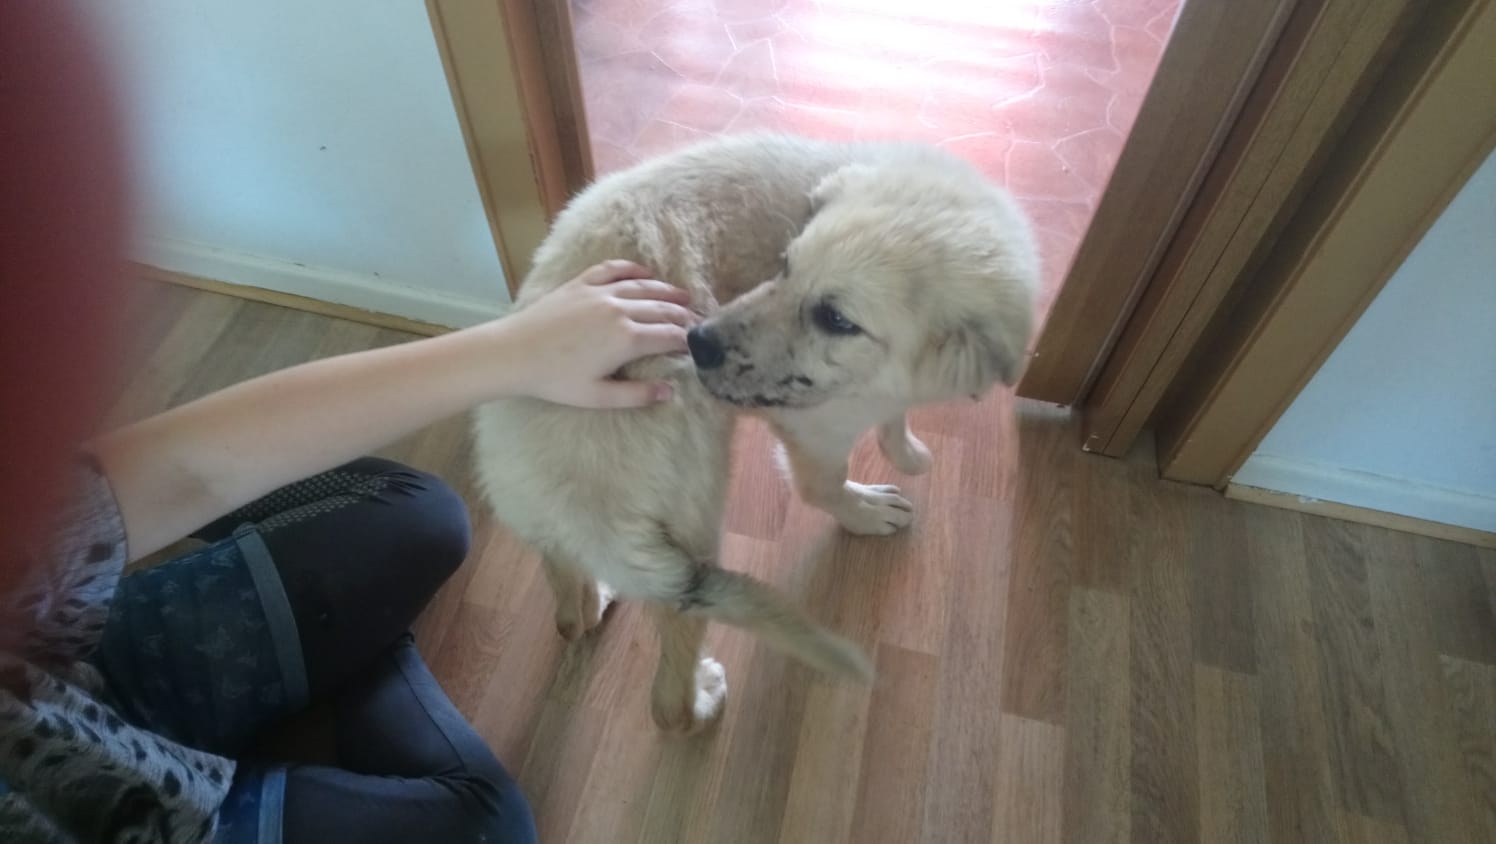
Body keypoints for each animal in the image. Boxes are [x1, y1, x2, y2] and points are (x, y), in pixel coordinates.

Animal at [472, 134, 1037, 733]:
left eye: (836, 319)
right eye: (785, 266)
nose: (696, 342)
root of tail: (573, 501)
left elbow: (893, 417)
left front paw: (905, 451)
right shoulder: (814, 426)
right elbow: (826, 486)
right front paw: (866, 511)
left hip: (567, 530)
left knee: (565, 594)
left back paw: (589, 600)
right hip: (695, 514)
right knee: (667, 701)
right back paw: (698, 702)